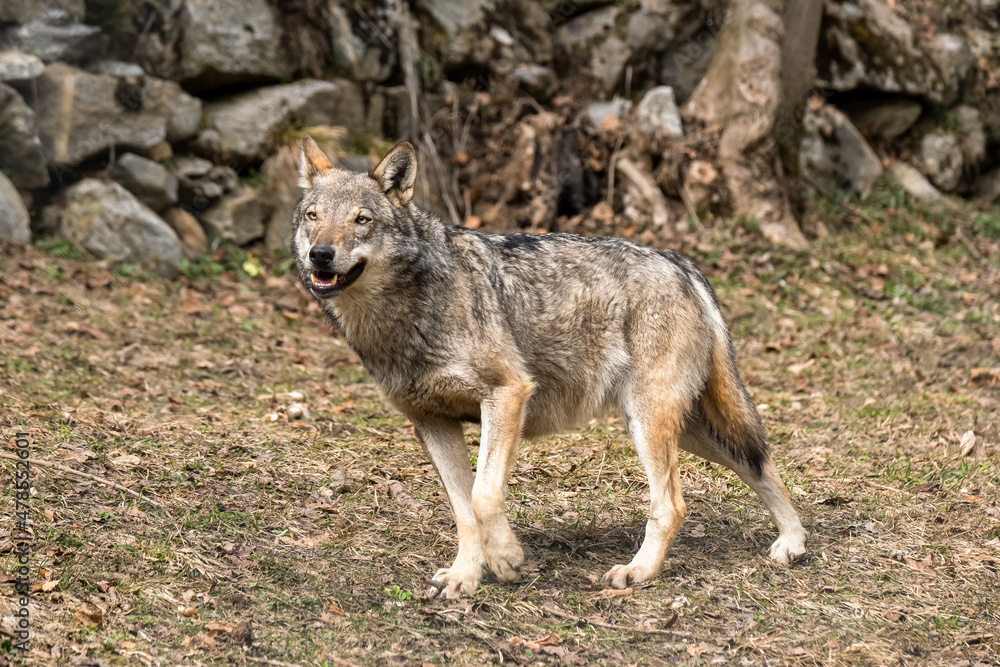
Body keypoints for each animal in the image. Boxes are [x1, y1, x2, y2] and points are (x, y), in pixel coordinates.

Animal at [292, 137, 808, 600]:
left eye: (362, 220)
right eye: (313, 217)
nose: (320, 254)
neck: (405, 317)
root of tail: (678, 260)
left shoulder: (508, 394)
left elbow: (483, 496)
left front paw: (506, 560)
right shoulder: (432, 422)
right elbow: (463, 510)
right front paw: (464, 578)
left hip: (652, 423)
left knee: (675, 504)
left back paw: (638, 572)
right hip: (684, 430)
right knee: (760, 463)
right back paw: (793, 543)